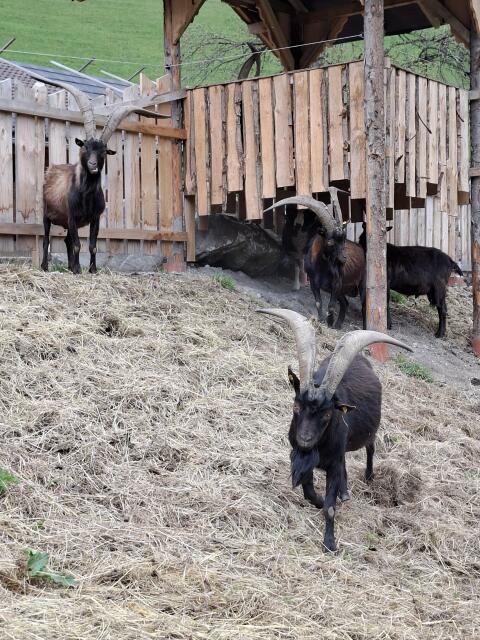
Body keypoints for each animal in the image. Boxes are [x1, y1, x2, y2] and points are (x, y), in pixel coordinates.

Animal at [258, 308, 412, 552]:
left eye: (328, 415)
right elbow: (308, 490)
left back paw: (367, 477)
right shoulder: (303, 457)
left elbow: (330, 507)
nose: (305, 439)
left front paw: (330, 543)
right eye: (296, 406)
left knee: (370, 448)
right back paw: (345, 491)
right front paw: (319, 501)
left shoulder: (332, 463)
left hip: (369, 433)